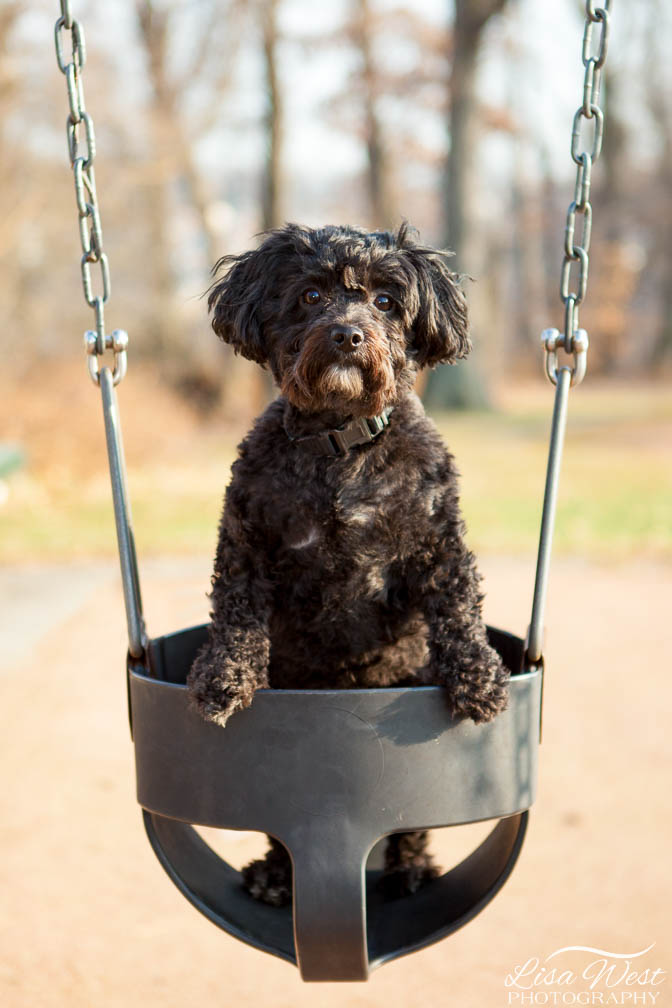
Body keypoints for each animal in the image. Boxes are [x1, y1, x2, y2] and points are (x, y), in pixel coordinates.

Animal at [186, 222, 507, 907]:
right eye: (310, 295)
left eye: (385, 301)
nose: (348, 334)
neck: (340, 445)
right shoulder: (247, 538)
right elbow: (235, 613)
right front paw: (223, 678)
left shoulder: (438, 541)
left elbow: (459, 607)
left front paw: (479, 678)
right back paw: (276, 876)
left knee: (409, 826)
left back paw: (410, 870)